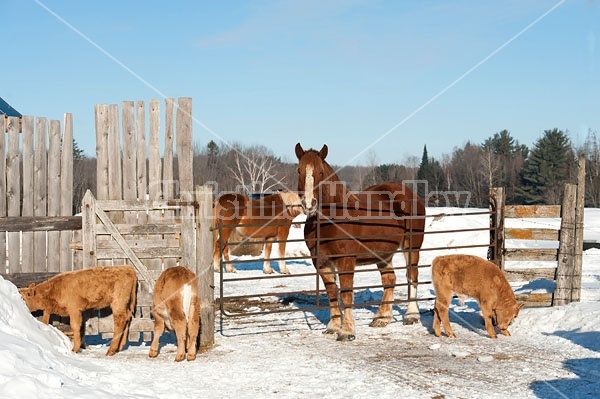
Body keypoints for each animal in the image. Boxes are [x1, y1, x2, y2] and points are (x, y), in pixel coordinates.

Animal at [296, 142, 426, 342]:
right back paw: (382, 318)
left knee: (412, 275)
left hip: (412, 247)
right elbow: (332, 293)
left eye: (320, 172)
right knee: (390, 280)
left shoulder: (346, 260)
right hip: (383, 253)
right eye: (299, 170)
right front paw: (333, 326)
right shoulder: (321, 262)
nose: (309, 204)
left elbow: (346, 294)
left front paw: (347, 331)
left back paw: (411, 315)